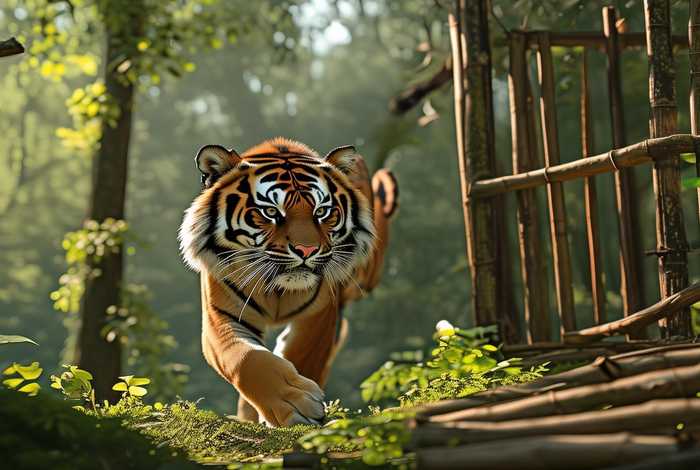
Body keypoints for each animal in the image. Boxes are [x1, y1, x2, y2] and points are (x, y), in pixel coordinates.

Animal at [178, 137, 398, 427]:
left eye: (322, 211)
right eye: (271, 212)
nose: (307, 250)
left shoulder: (319, 316)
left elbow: (301, 356)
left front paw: (298, 407)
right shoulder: (221, 316)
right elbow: (246, 358)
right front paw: (291, 403)